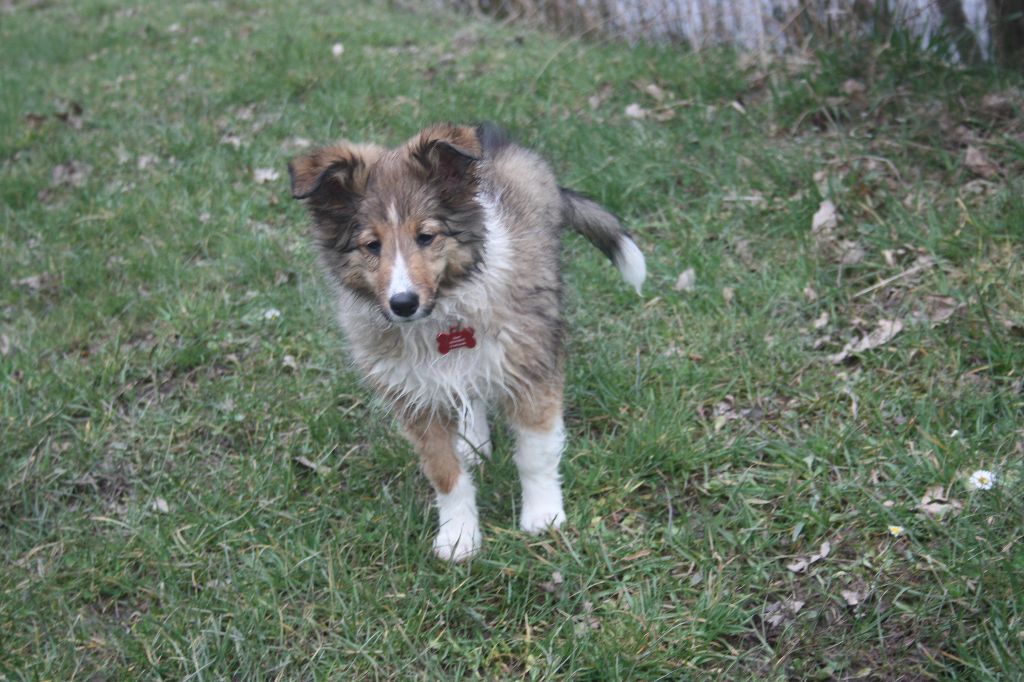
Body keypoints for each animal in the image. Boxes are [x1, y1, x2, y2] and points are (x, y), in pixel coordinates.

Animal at [288, 122, 643, 557]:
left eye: (426, 236)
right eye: (372, 245)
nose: (402, 303)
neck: (442, 315)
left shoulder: (531, 365)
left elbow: (535, 453)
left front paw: (543, 516)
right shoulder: (415, 397)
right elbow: (444, 472)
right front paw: (459, 536)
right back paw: (473, 441)